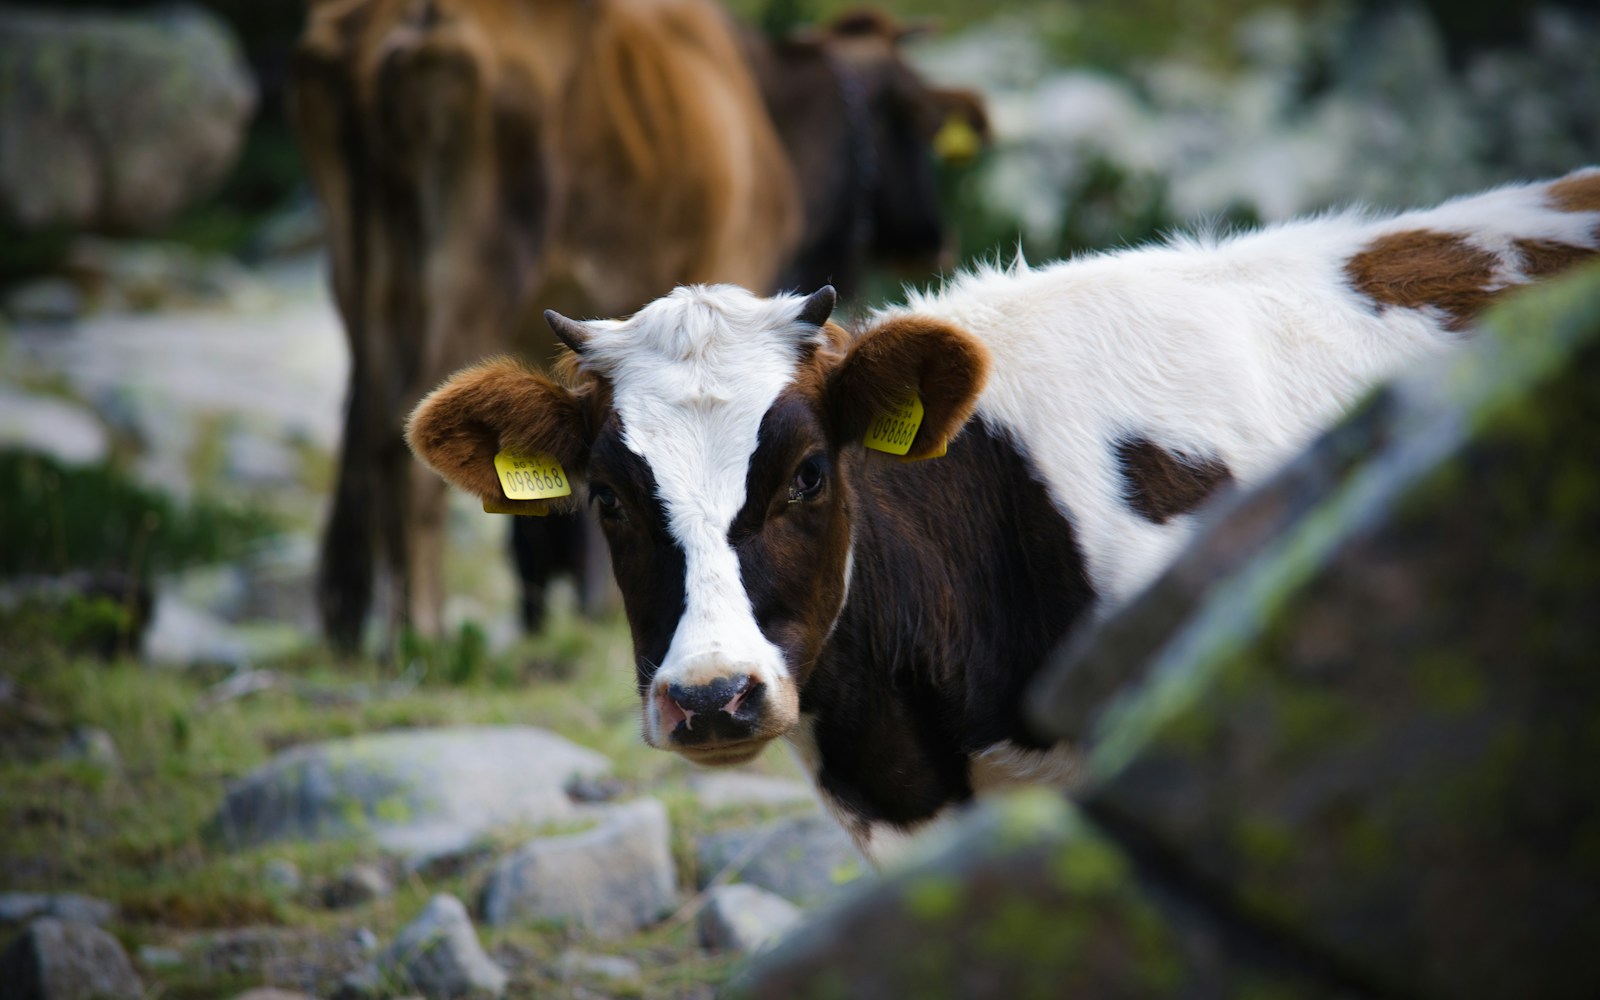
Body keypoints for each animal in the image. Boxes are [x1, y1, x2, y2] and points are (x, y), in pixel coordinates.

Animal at [288, 0, 987, 652]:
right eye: (915, 126)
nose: (941, 238)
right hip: (481, 266)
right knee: (404, 444)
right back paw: (421, 633)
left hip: (363, 274)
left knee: (367, 432)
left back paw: (354, 630)